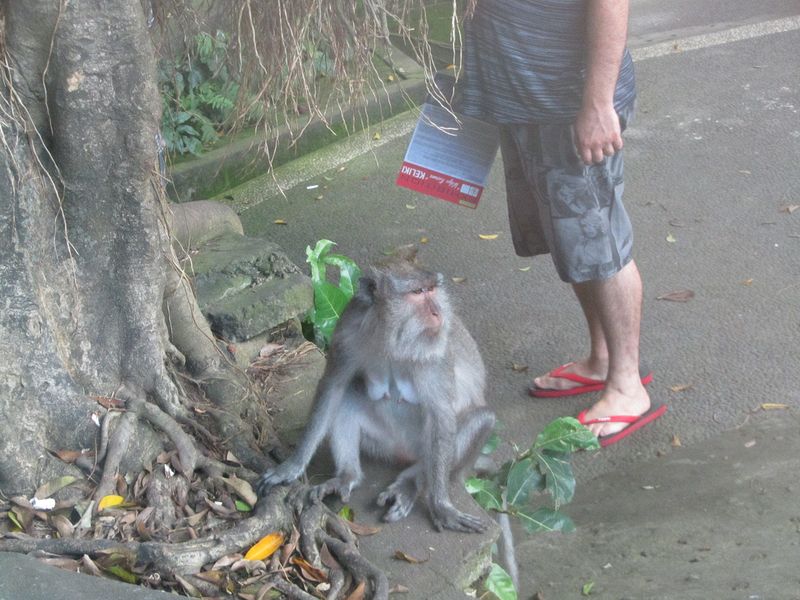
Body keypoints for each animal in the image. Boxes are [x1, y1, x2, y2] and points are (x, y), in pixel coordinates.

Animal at [256, 246, 494, 532]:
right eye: (417, 293)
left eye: (432, 289)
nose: (438, 313)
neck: (390, 335)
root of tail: (402, 453)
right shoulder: (347, 333)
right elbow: (333, 386)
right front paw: (292, 466)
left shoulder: (435, 354)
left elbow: (441, 415)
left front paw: (441, 506)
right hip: (381, 444)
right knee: (347, 395)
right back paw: (347, 476)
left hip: (425, 452)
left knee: (479, 420)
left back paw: (410, 482)